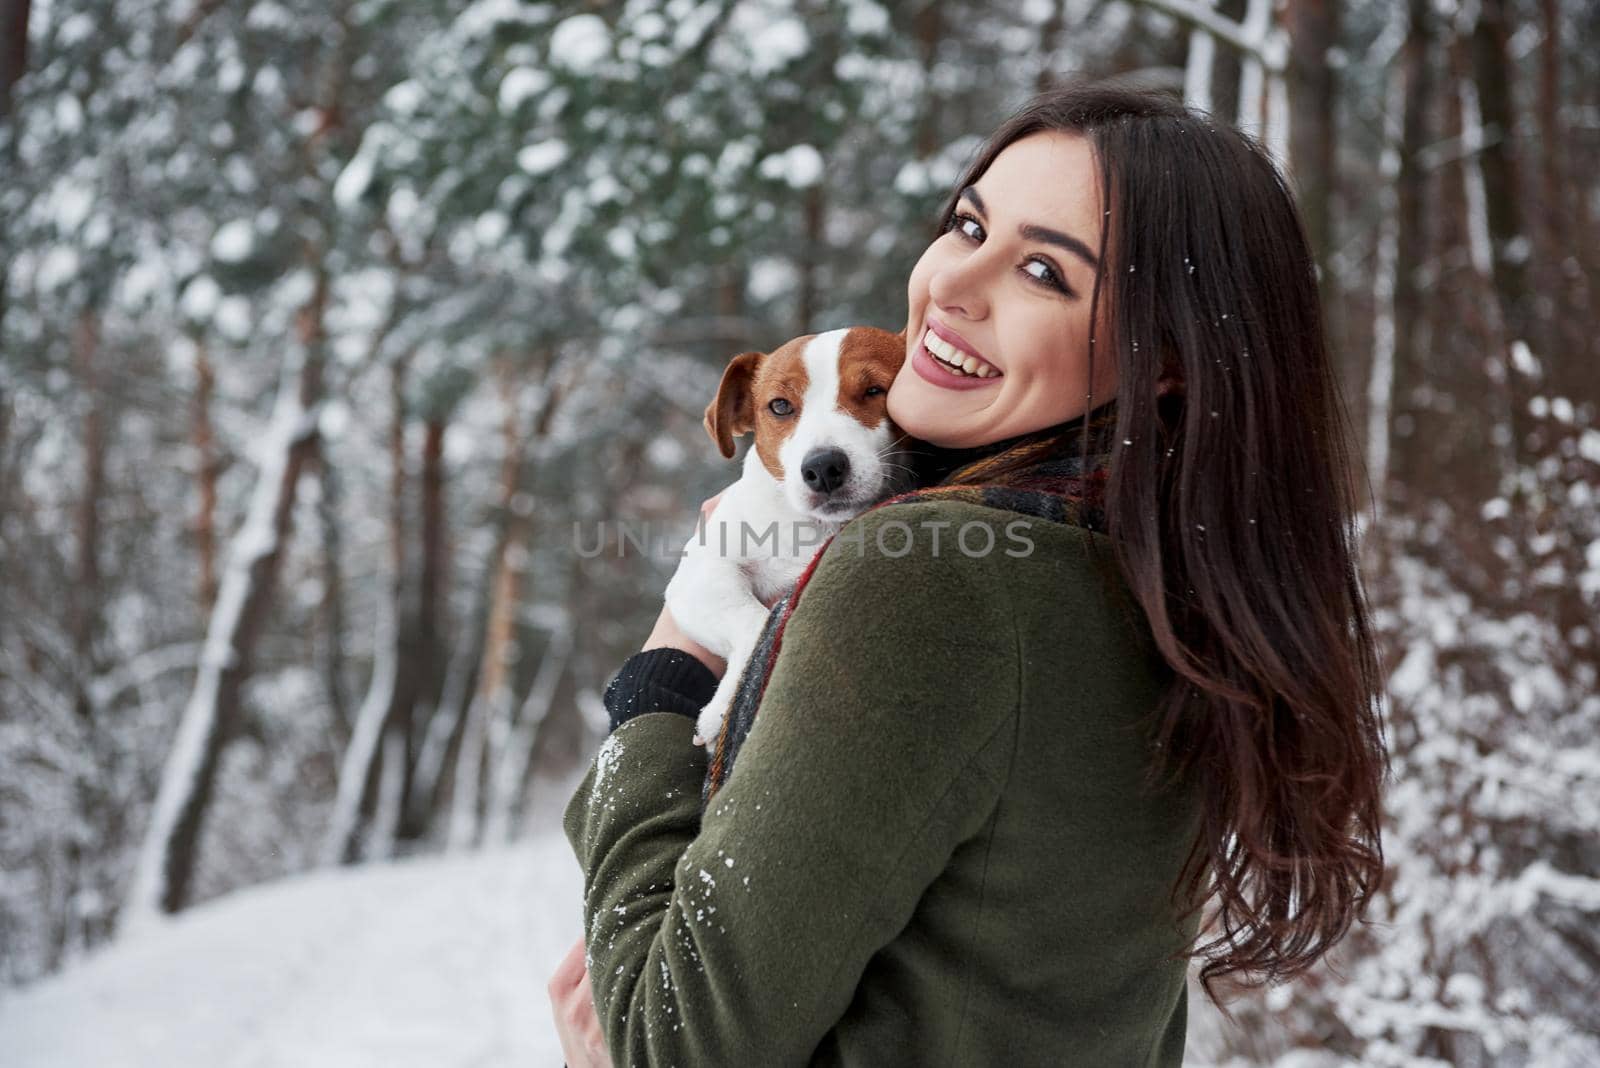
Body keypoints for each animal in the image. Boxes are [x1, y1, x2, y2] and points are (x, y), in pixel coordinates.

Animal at [662, 321, 915, 748]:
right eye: (780, 406)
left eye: (874, 390)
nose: (823, 467)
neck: (811, 528)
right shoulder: (700, 576)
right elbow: (754, 621)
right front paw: (722, 709)